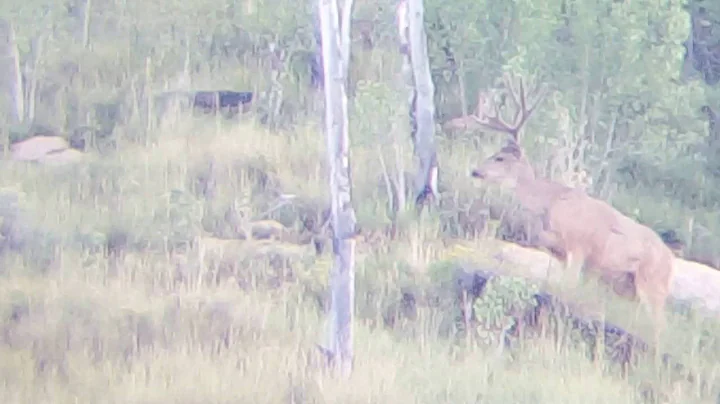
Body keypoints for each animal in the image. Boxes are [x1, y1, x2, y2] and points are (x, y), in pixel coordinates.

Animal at [468, 72, 676, 353]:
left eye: (500, 158)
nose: (475, 171)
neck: (551, 203)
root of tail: (671, 260)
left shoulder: (579, 247)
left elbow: (567, 288)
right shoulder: (561, 253)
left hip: (652, 284)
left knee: (662, 327)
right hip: (629, 288)